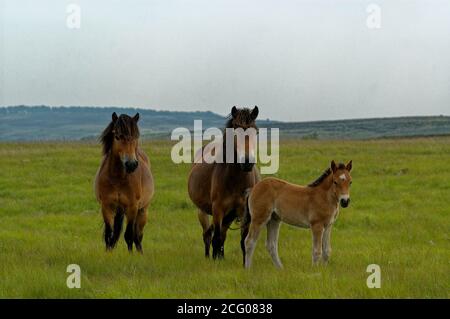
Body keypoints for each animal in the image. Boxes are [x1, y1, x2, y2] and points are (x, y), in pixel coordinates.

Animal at [94, 114, 154, 254]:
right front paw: (108, 253)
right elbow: (109, 235)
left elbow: (129, 235)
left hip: (142, 211)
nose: (131, 164)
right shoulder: (107, 207)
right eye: (117, 136)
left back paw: (140, 253)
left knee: (138, 235)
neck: (118, 178)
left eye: (136, 136)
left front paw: (130, 255)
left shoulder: (132, 207)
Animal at [188, 106, 262, 262]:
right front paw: (215, 261)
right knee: (208, 235)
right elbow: (216, 238)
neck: (235, 180)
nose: (247, 162)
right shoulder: (218, 209)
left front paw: (245, 264)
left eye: (256, 132)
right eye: (235, 131)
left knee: (222, 234)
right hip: (202, 211)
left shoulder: (243, 213)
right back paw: (208, 256)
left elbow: (243, 241)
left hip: (229, 215)